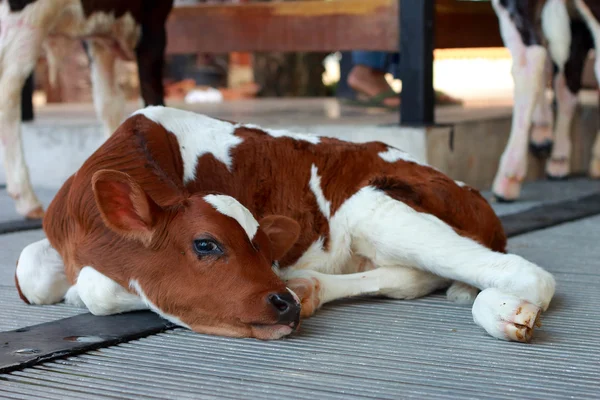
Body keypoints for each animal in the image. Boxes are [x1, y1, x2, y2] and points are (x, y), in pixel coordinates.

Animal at [0, 0, 173, 219]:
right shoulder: (153, 20)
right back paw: (27, 199)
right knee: (8, 93)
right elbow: (153, 100)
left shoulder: (99, 41)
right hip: (26, 20)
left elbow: (109, 103)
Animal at [15, 107, 556, 344]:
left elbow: (99, 288)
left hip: (376, 201)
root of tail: (474, 194)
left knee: (528, 275)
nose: (284, 304)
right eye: (206, 244)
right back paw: (309, 286)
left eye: (262, 247)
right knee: (406, 277)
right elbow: (28, 272)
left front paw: (83, 293)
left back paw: (508, 311)